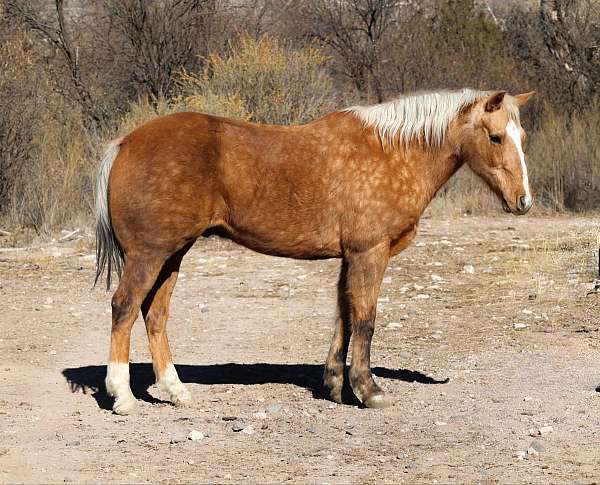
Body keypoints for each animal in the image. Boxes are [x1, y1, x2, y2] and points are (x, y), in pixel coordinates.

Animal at [96, 87, 536, 412]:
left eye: (523, 139)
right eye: (496, 137)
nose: (523, 201)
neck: (391, 151)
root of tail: (124, 143)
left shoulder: (350, 258)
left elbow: (344, 316)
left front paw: (337, 386)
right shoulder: (369, 253)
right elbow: (365, 319)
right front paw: (369, 389)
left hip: (172, 255)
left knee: (155, 315)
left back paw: (175, 390)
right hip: (149, 255)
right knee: (124, 308)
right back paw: (123, 396)